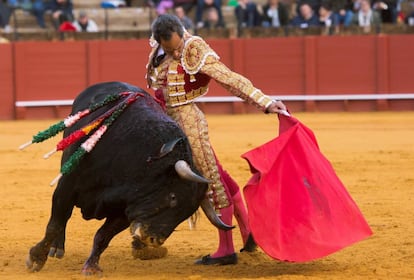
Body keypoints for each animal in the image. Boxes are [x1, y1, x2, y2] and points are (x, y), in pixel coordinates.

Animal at [26, 81, 233, 274]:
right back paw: (56, 248)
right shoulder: (67, 186)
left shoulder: (127, 210)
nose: (153, 240)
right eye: (173, 197)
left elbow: (103, 236)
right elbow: (55, 223)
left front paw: (91, 267)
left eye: (187, 213)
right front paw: (36, 258)